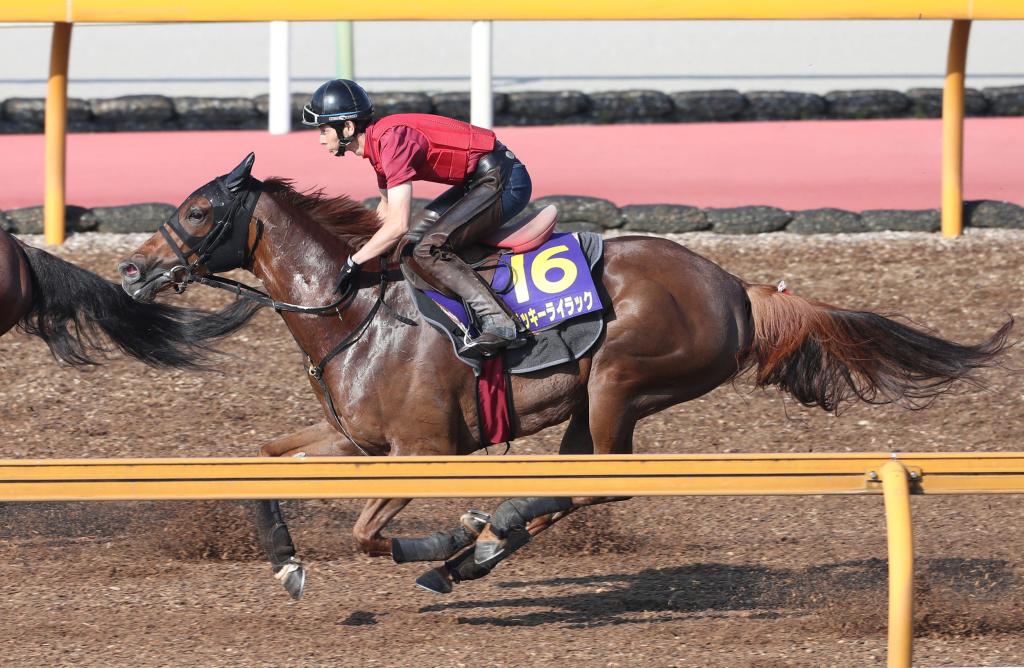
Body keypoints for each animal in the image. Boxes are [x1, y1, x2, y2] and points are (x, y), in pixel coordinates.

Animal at [116, 154, 1012, 599]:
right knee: (580, 484)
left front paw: (442, 534)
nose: (130, 268)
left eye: (199, 210)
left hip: (620, 379)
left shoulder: (427, 451)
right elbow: (262, 463)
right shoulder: (357, 442)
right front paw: (285, 562)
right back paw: (481, 548)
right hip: (591, 401)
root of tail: (737, 288)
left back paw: (476, 539)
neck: (354, 312)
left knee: (602, 483)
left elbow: (367, 533)